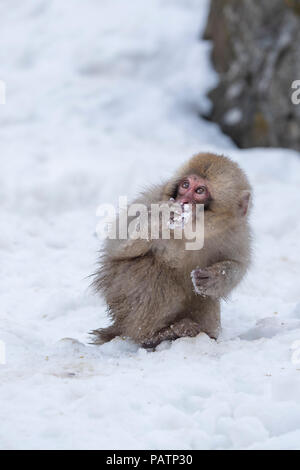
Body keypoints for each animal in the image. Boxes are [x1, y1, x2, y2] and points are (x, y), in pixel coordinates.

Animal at [91, 152, 251, 346]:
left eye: (200, 191)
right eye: (185, 185)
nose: (183, 201)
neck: (194, 230)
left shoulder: (238, 231)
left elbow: (239, 264)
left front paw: (215, 278)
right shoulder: (152, 200)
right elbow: (116, 248)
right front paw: (158, 218)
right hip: (117, 293)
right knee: (150, 268)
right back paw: (156, 335)